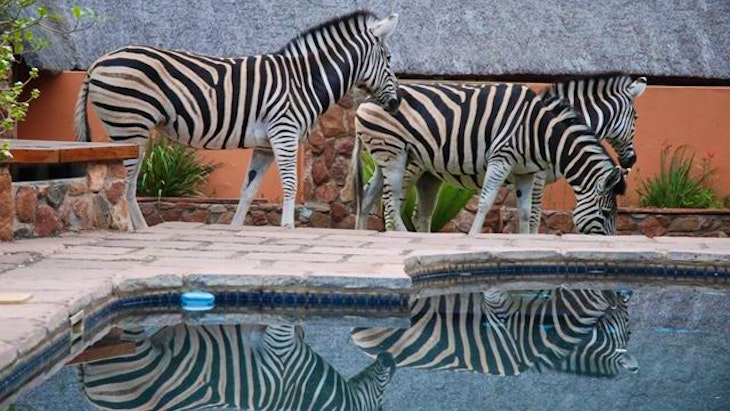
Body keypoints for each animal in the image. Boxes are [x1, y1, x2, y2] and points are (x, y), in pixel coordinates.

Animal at [75, 10, 401, 230]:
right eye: (388, 59)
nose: (396, 104)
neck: (304, 81)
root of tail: (97, 62)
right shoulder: (284, 132)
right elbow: (290, 184)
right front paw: (288, 228)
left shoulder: (265, 146)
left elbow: (248, 190)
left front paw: (235, 229)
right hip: (130, 125)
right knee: (127, 186)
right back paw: (138, 231)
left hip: (131, 129)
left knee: (129, 185)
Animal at [354, 74, 644, 234]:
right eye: (636, 118)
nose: (632, 160)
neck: (545, 131)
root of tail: (366, 101)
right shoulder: (537, 174)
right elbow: (533, 213)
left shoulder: (528, 171)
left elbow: (526, 212)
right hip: (404, 162)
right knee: (390, 204)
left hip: (410, 167)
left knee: (375, 199)